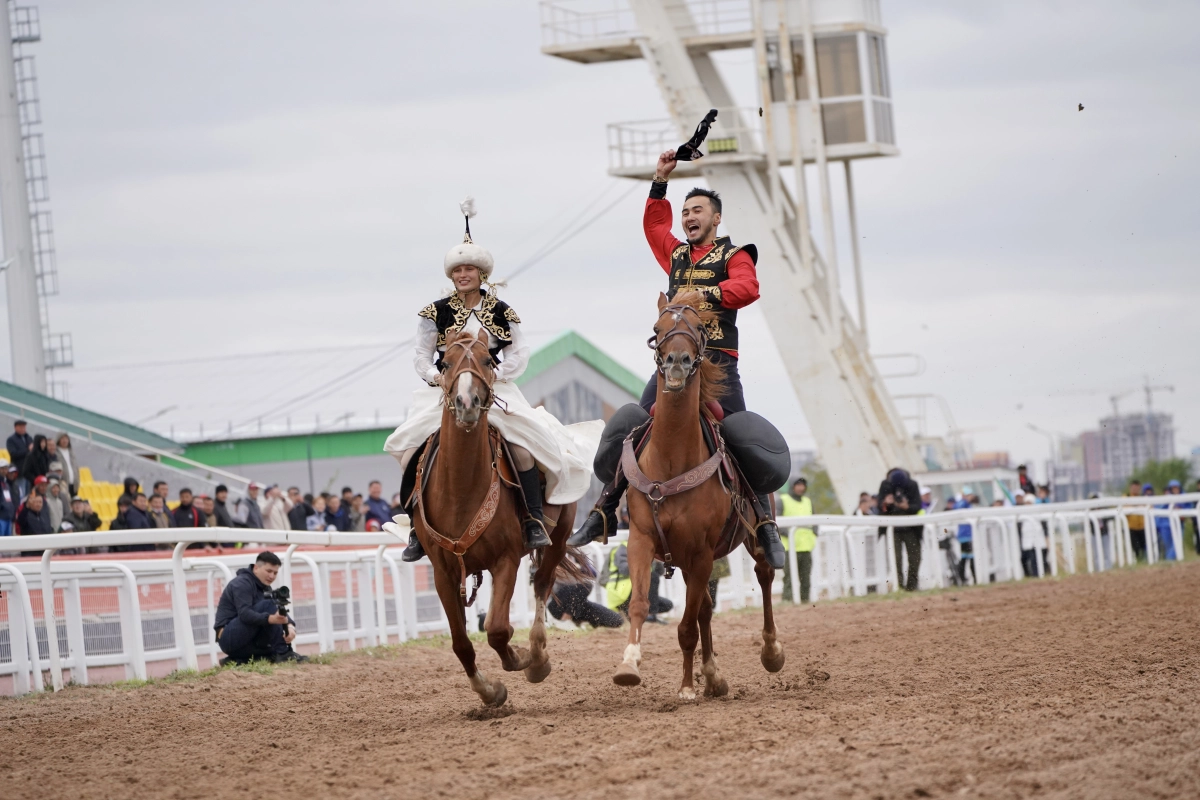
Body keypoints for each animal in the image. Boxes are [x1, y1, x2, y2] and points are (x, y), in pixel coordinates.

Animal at [412, 328, 576, 705]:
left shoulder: (506, 559)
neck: (460, 490)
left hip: (558, 535)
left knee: (542, 583)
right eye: (444, 363)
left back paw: (538, 654)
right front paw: (488, 692)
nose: (467, 403)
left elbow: (498, 629)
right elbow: (461, 643)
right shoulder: (443, 573)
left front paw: (523, 660)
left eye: (488, 360)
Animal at [609, 292, 787, 700]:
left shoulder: (702, 552)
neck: (672, 459)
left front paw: (687, 687)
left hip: (750, 542)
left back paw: (770, 652)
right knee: (705, 606)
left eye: (699, 328)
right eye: (657, 327)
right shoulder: (642, 540)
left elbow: (687, 626)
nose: (677, 362)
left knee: (765, 577)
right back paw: (711, 676)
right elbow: (640, 604)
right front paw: (630, 664)